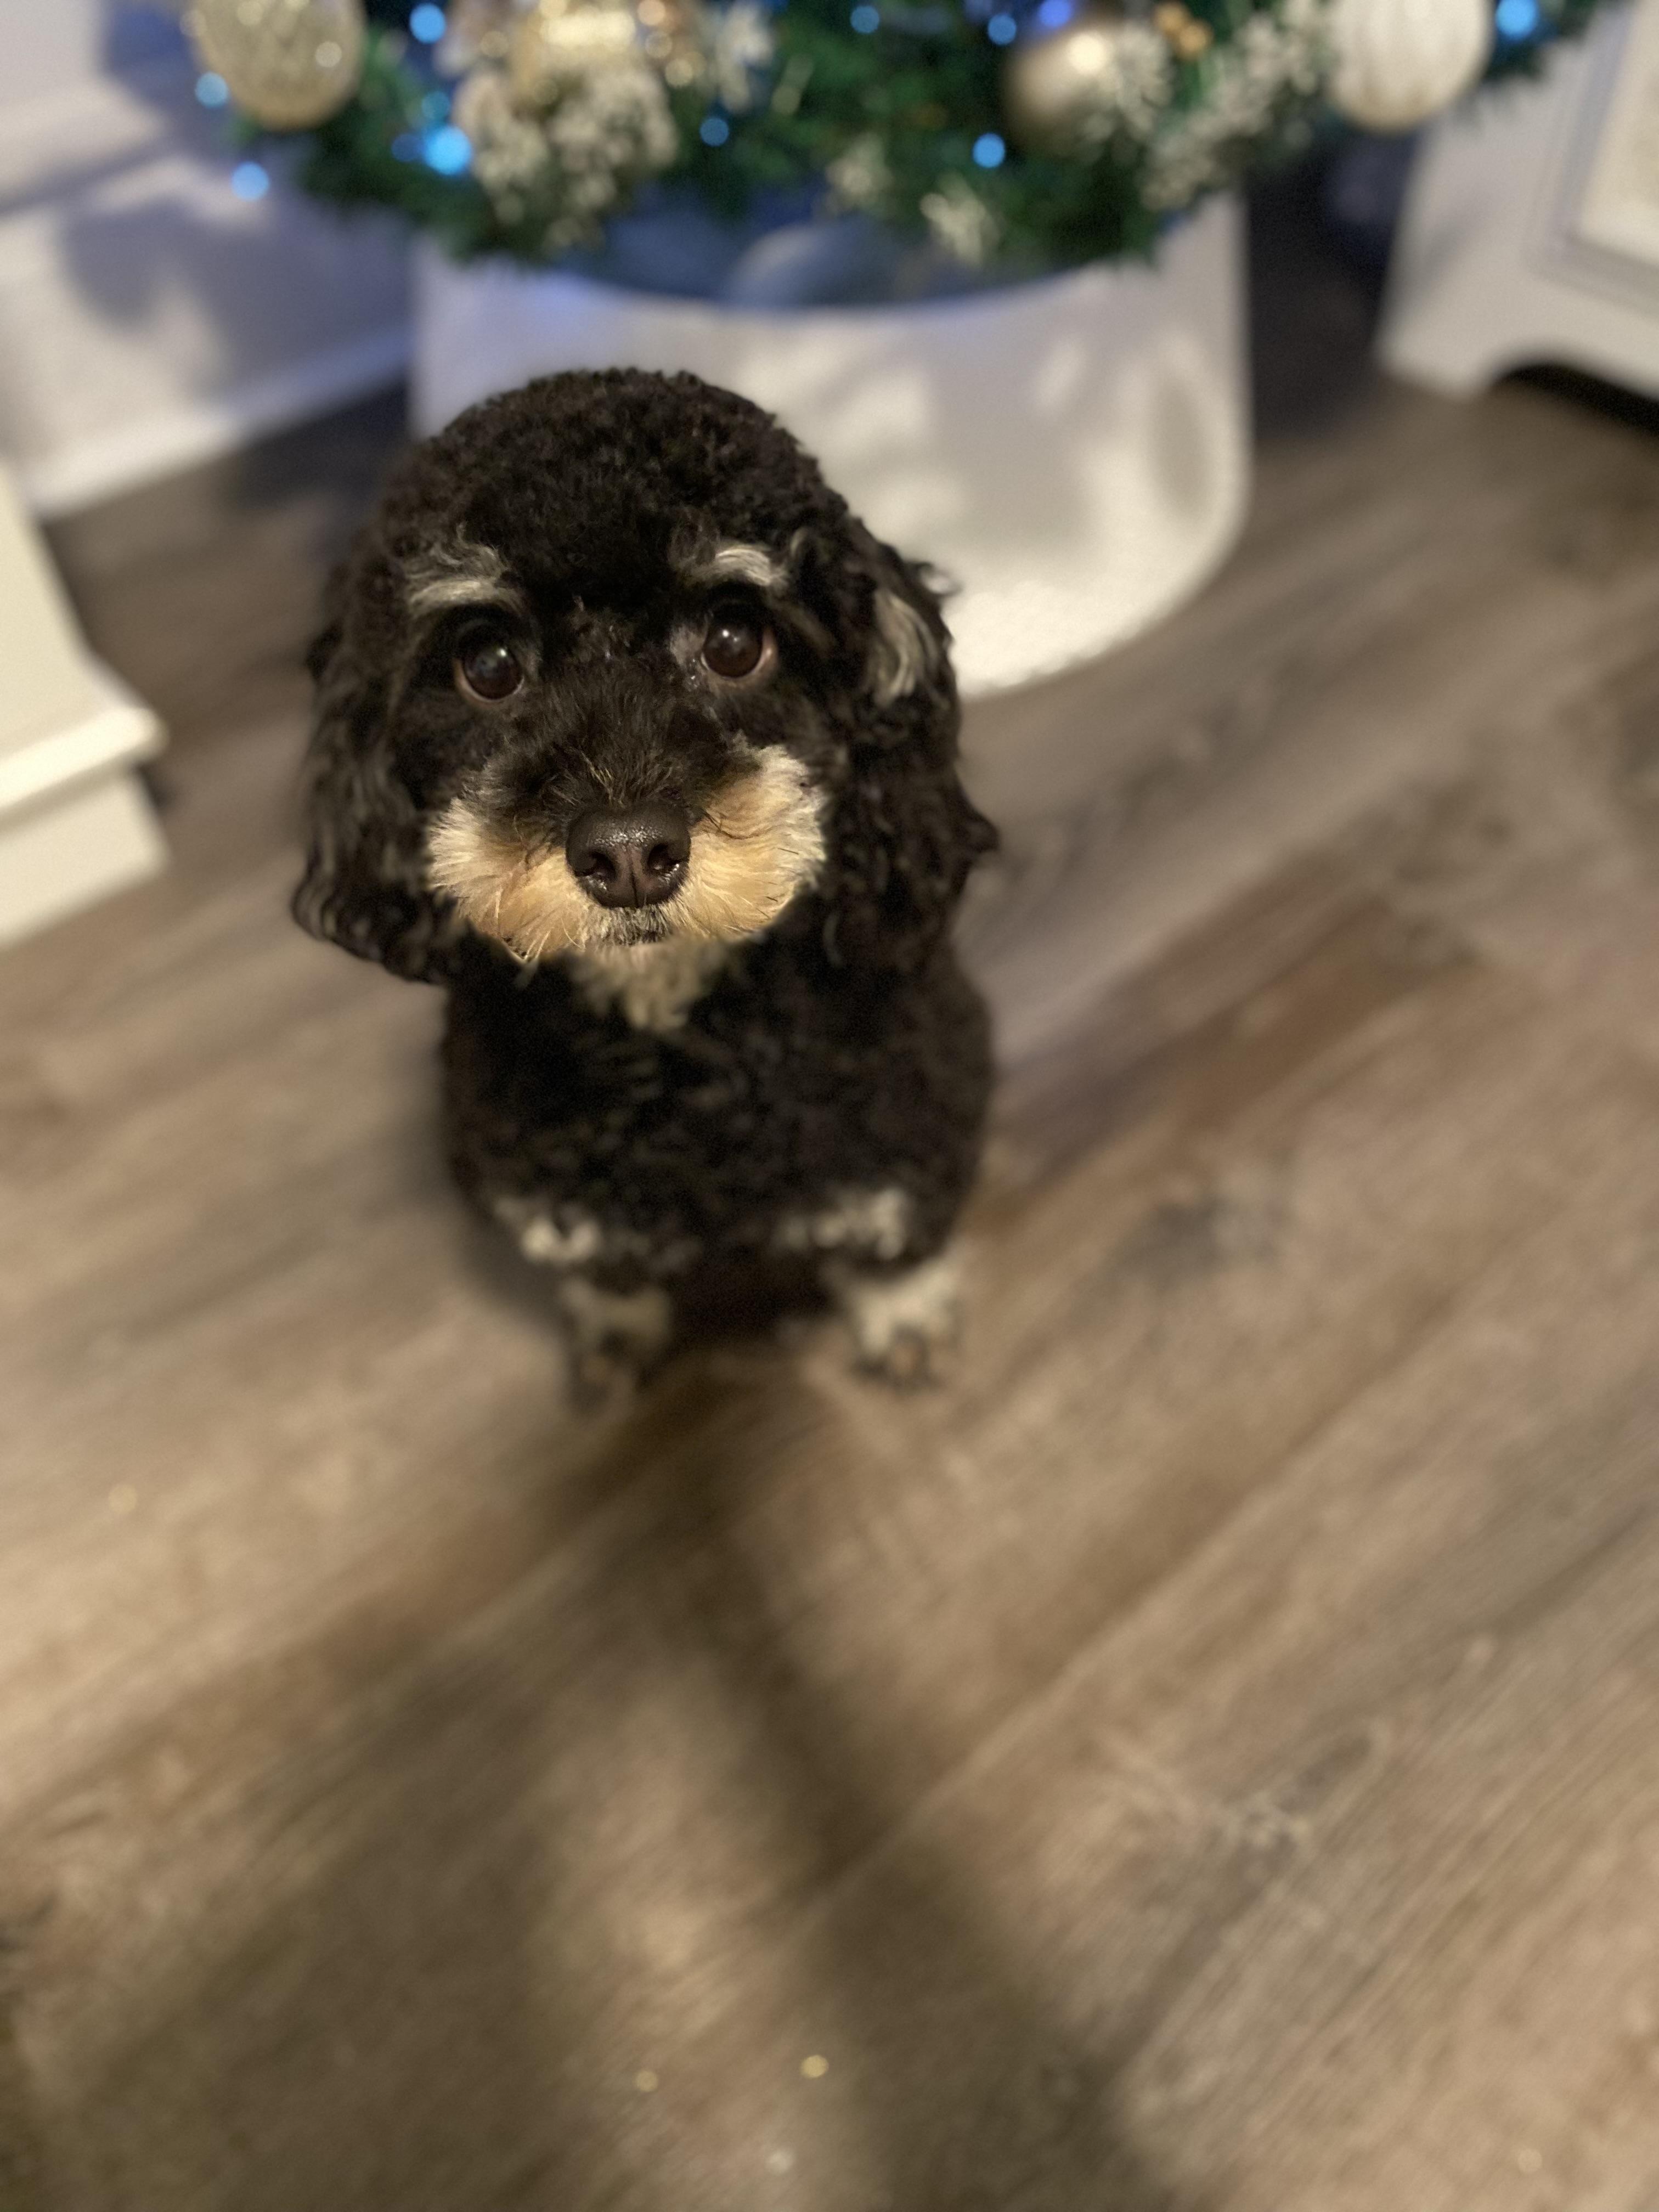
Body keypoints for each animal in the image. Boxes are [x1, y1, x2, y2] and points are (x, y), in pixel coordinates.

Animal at [294, 368, 996, 1391]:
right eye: (486, 662)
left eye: (736, 638)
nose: (629, 854)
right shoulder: (541, 1181)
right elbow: (601, 1267)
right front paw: (613, 1330)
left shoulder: (903, 1117)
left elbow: (888, 1233)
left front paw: (901, 1313)